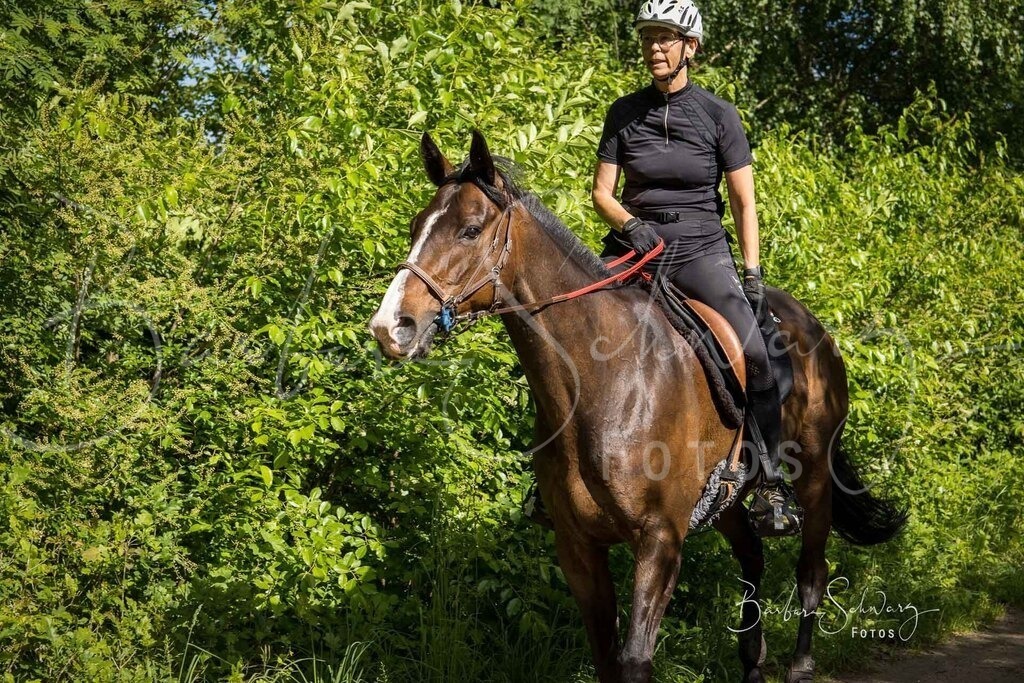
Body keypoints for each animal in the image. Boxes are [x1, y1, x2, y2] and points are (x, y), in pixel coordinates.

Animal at [369, 130, 907, 683]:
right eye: (416, 227)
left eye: (471, 230)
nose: (392, 328)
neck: (601, 380)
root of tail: (814, 328)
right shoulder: (578, 547)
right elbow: (607, 657)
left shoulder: (660, 539)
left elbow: (634, 661)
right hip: (727, 497)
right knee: (752, 560)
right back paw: (752, 664)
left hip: (815, 474)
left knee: (811, 571)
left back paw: (798, 664)